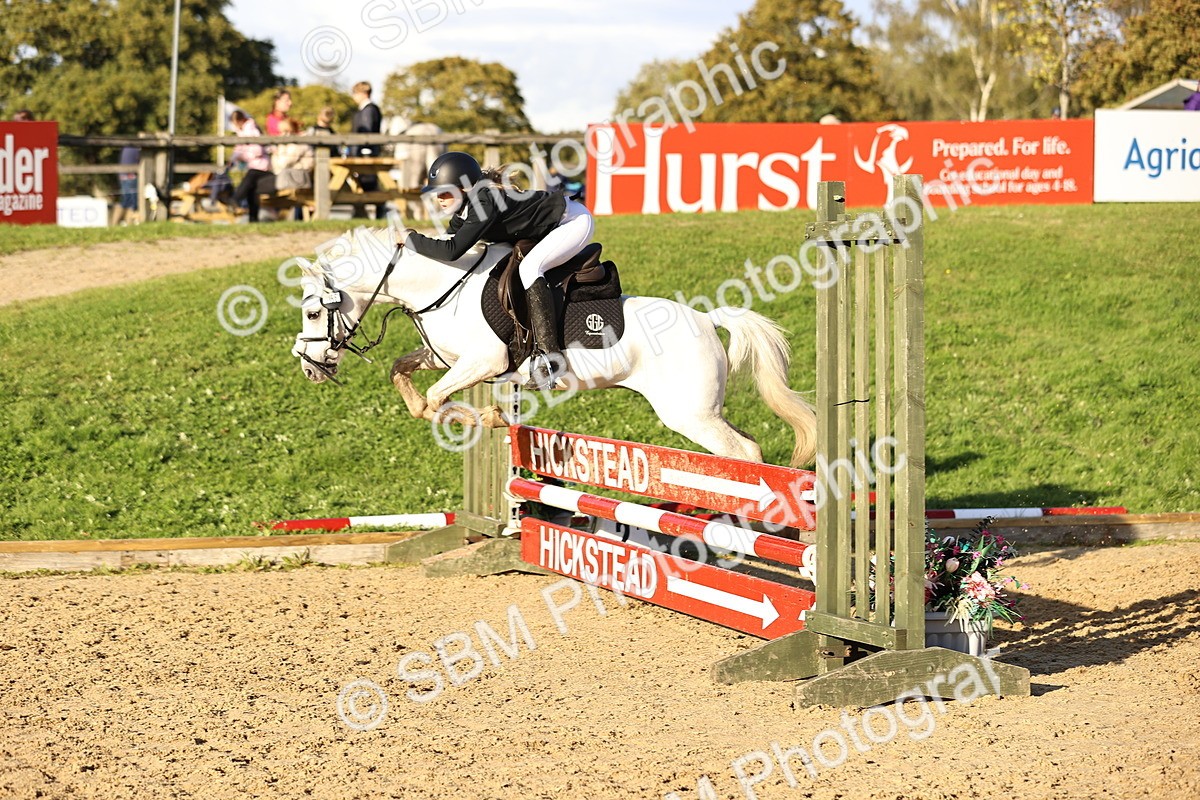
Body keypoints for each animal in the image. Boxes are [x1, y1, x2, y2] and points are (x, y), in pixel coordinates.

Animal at [290, 225, 817, 466]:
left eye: (313, 312)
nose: (310, 368)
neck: (441, 284)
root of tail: (707, 319)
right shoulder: (450, 359)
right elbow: (403, 373)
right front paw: (475, 413)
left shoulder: (484, 361)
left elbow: (441, 399)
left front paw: (482, 417)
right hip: (706, 410)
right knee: (747, 447)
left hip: (690, 414)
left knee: (742, 453)